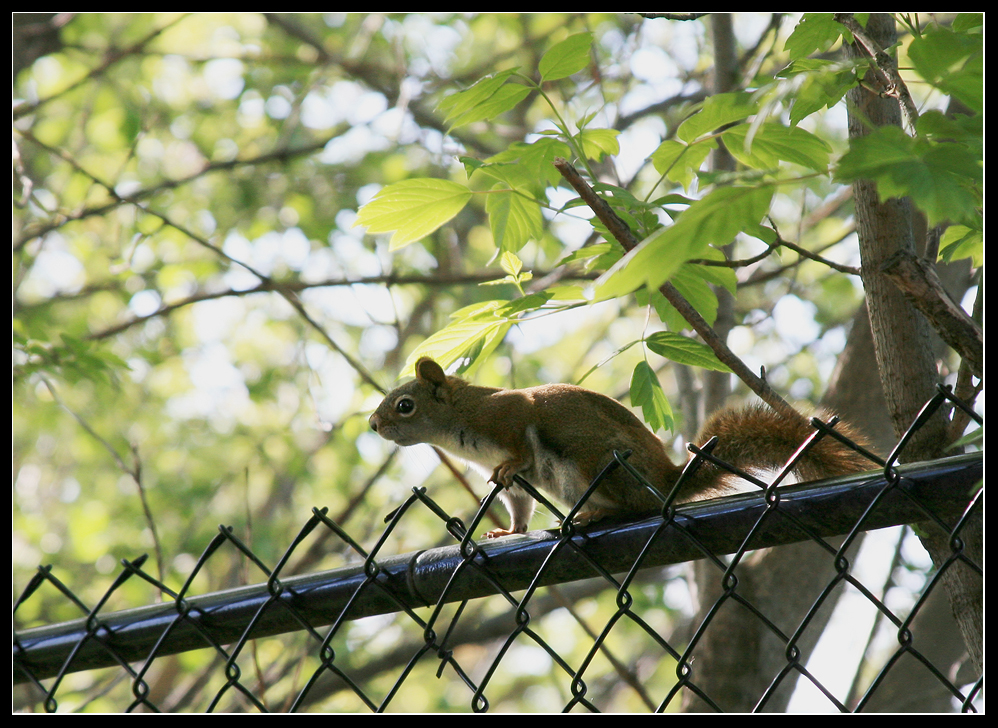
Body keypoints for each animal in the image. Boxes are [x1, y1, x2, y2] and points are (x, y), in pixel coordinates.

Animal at [370, 356, 876, 536]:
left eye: (405, 405)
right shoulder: (512, 483)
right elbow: (517, 505)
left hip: (592, 462)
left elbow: (520, 448)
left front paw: (512, 463)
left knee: (637, 508)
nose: (374, 424)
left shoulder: (505, 414)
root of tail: (664, 482)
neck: (459, 421)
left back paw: (598, 514)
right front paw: (509, 532)